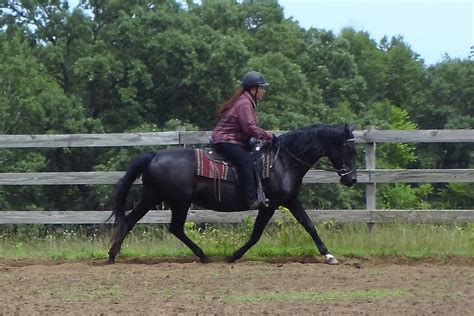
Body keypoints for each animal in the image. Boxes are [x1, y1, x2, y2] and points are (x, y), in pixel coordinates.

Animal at [109, 123, 358, 264]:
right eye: (349, 149)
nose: (351, 180)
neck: (283, 161)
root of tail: (154, 156)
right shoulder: (269, 204)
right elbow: (256, 234)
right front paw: (234, 255)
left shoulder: (290, 200)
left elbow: (309, 225)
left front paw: (328, 255)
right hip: (172, 201)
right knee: (167, 226)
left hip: (160, 198)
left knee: (139, 222)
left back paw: (113, 254)